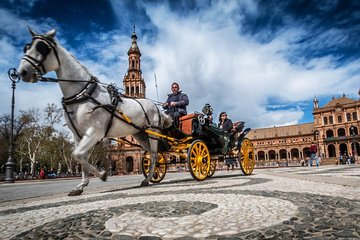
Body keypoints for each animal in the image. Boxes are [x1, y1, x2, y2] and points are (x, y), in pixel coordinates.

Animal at [17, 28, 172, 195]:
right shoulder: (78, 135)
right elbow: (80, 157)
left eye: (42, 48)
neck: (82, 93)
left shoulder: (95, 131)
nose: (22, 71)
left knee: (155, 155)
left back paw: (148, 179)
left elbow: (78, 155)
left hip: (152, 132)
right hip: (141, 135)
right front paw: (81, 185)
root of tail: (157, 108)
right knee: (151, 154)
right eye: (27, 47)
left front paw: (102, 175)